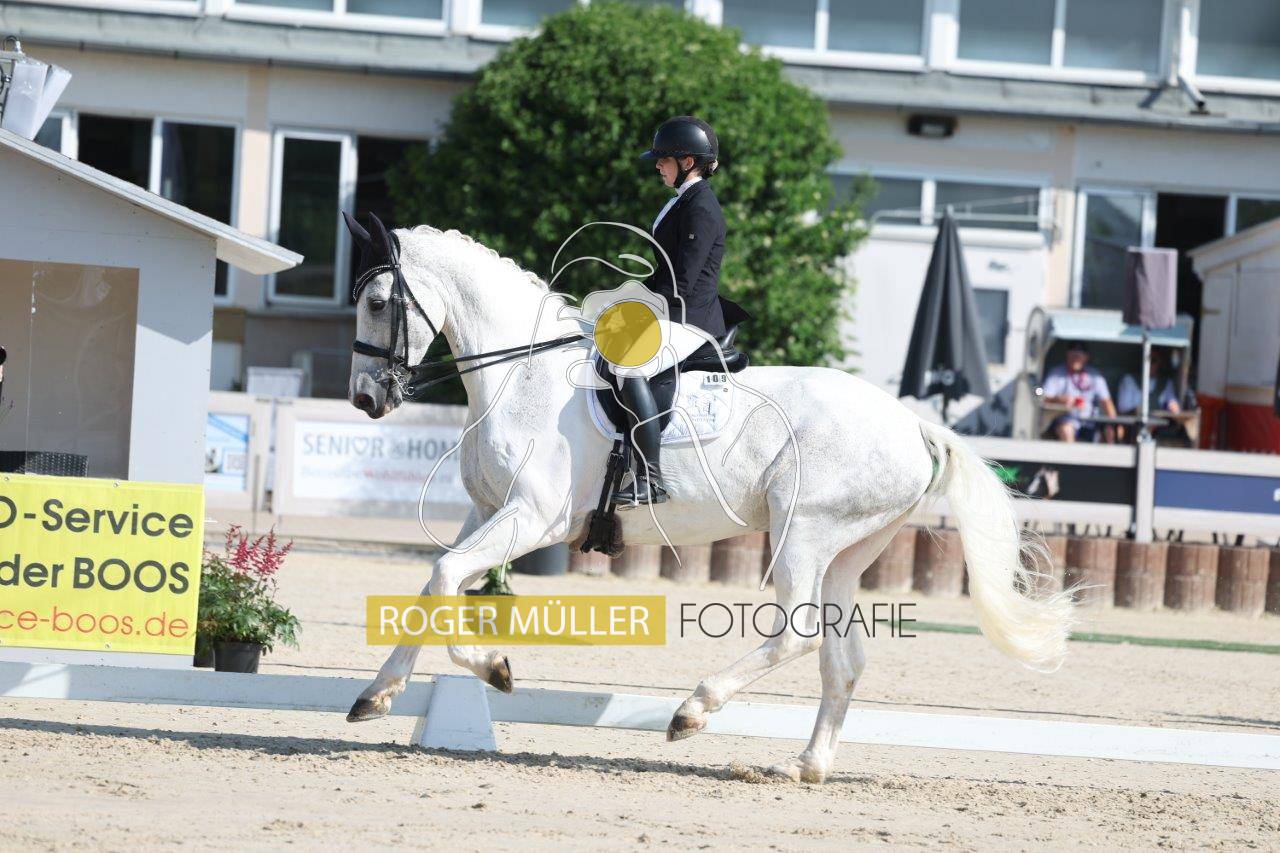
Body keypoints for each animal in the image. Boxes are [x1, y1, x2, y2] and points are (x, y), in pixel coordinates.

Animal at [342, 214, 1074, 784]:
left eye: (378, 301)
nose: (365, 399)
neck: (523, 373)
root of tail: (912, 424)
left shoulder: (534, 518)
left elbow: (443, 576)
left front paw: (454, 677)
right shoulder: (491, 512)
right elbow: (438, 586)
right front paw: (408, 686)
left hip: (801, 530)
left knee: (799, 633)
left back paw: (691, 711)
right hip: (847, 551)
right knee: (843, 659)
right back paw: (806, 766)